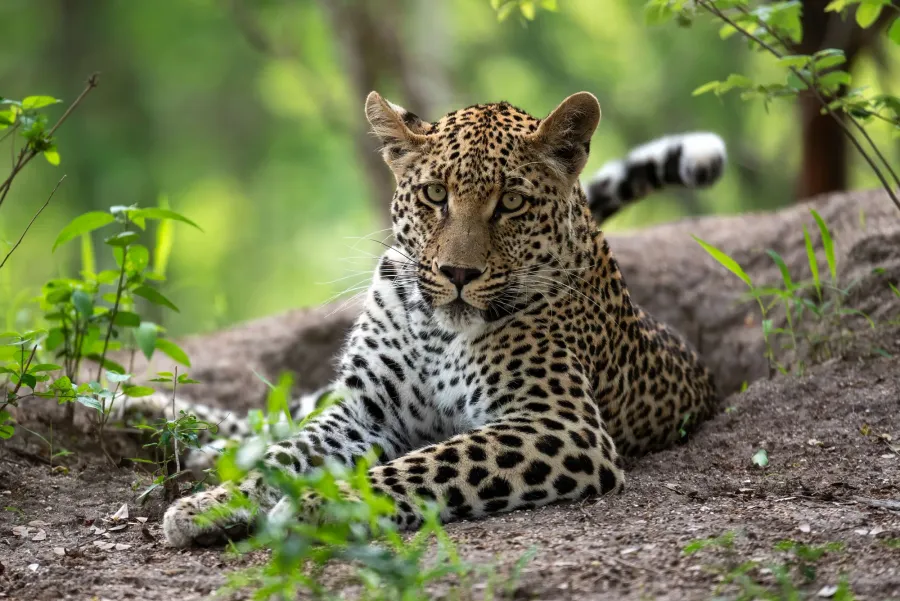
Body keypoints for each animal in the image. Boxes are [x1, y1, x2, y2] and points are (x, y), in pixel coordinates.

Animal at [132, 91, 726, 548]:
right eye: (435, 194)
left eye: (511, 203)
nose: (458, 272)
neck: (438, 331)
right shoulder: (361, 411)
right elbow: (286, 454)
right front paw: (211, 504)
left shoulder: (559, 425)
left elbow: (426, 465)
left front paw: (322, 506)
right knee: (271, 416)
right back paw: (152, 418)